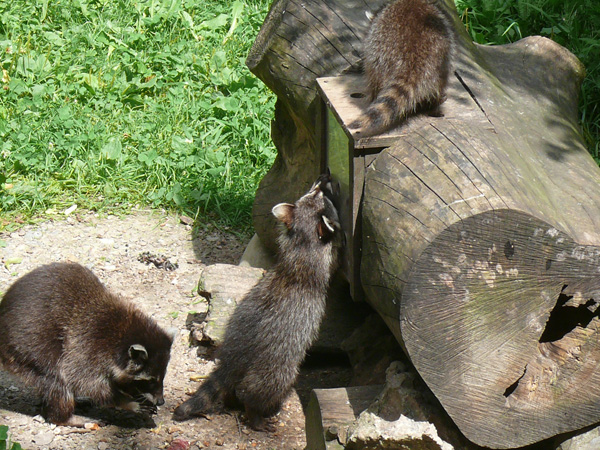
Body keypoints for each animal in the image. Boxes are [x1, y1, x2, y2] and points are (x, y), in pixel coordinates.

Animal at [0, 264, 173, 428]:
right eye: (150, 380)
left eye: (162, 377)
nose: (161, 401)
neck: (124, 332)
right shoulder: (88, 349)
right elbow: (85, 383)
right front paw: (125, 401)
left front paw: (134, 393)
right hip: (30, 351)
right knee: (57, 380)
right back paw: (65, 417)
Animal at [173, 174, 342, 430]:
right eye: (318, 193)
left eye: (312, 189)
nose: (324, 177)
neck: (301, 243)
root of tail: (233, 360)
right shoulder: (320, 262)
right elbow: (335, 258)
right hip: (277, 366)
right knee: (258, 390)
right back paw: (254, 414)